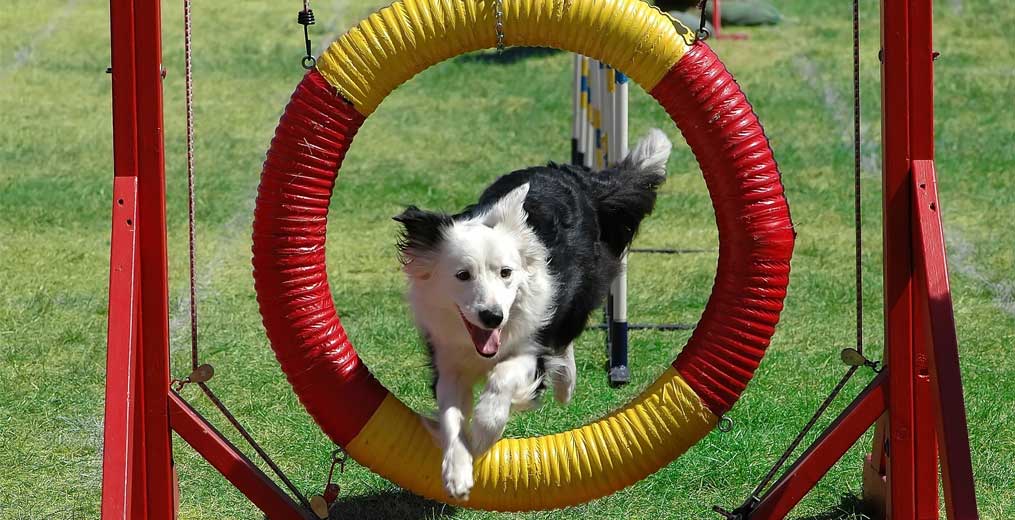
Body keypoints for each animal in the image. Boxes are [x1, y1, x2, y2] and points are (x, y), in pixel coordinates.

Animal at [391, 128, 669, 499]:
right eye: (462, 275)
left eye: (506, 272)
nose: (493, 317)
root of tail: (574, 176)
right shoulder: (447, 358)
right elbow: (450, 414)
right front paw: (457, 472)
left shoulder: (530, 345)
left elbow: (503, 378)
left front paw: (483, 432)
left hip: (582, 288)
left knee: (564, 337)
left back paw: (565, 385)